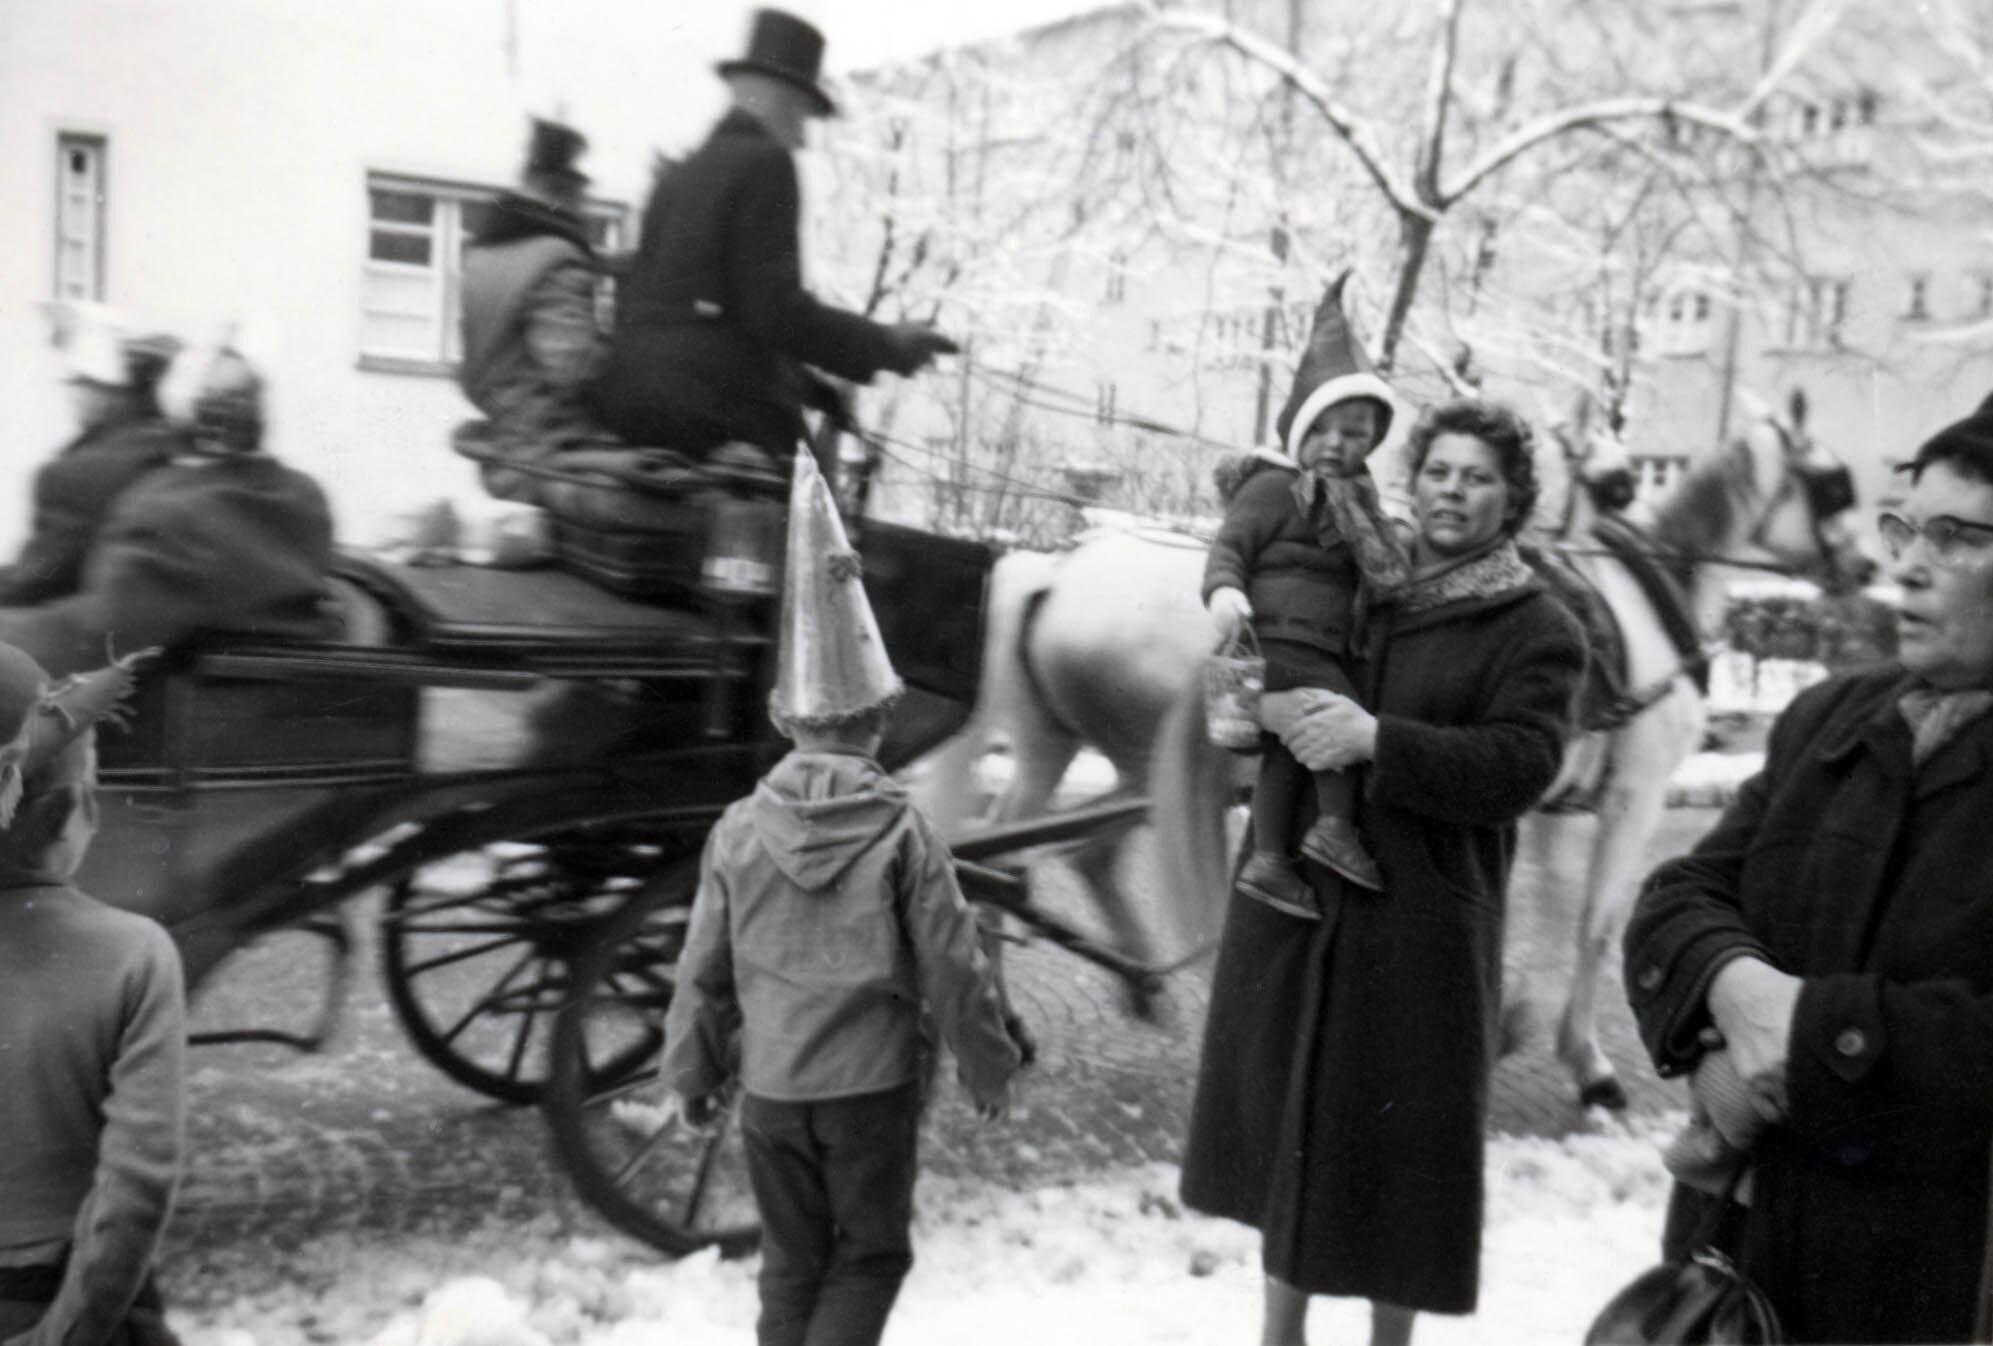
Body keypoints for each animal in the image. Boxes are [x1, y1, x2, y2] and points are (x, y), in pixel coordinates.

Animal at [916, 388, 1865, 1108]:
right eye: (1829, 482)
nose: (1868, 565)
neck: (1640, 597)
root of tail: (1060, 566)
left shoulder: (1560, 801)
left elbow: (1554, 906)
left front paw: (1526, 1025)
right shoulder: (1631, 792)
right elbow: (1595, 925)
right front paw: (1585, 1062)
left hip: (1077, 748)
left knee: (1033, 856)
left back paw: (1067, 1002)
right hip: (1159, 760)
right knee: (1047, 856)